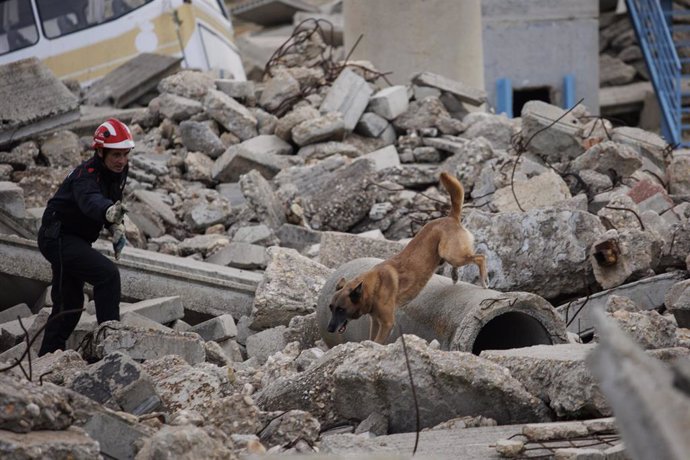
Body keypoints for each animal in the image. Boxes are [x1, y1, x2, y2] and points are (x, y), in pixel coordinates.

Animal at [326, 172, 486, 344]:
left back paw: (484, 281)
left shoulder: (387, 323)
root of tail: (450, 217)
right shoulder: (375, 321)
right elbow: (371, 338)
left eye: (341, 309)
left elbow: (378, 341)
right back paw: (455, 276)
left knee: (480, 257)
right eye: (331, 308)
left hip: (451, 254)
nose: (329, 329)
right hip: (448, 254)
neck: (373, 286)